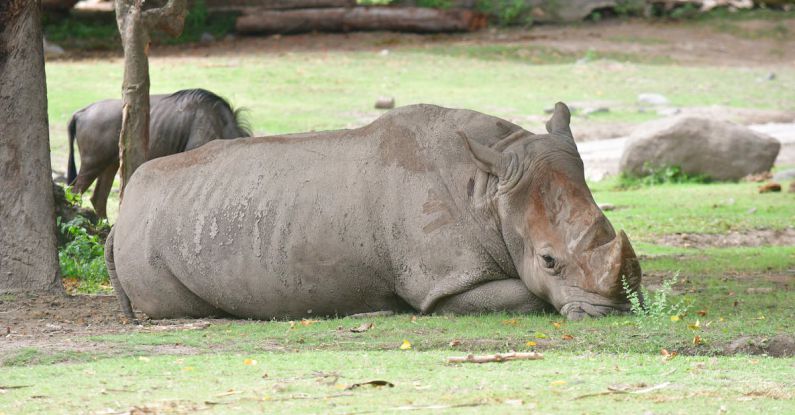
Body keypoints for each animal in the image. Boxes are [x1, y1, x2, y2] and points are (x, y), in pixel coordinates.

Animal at [105, 101, 644, 322]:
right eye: (548, 261)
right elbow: (528, 297)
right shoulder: (443, 283)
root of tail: (125, 209)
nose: (613, 312)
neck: (489, 189)